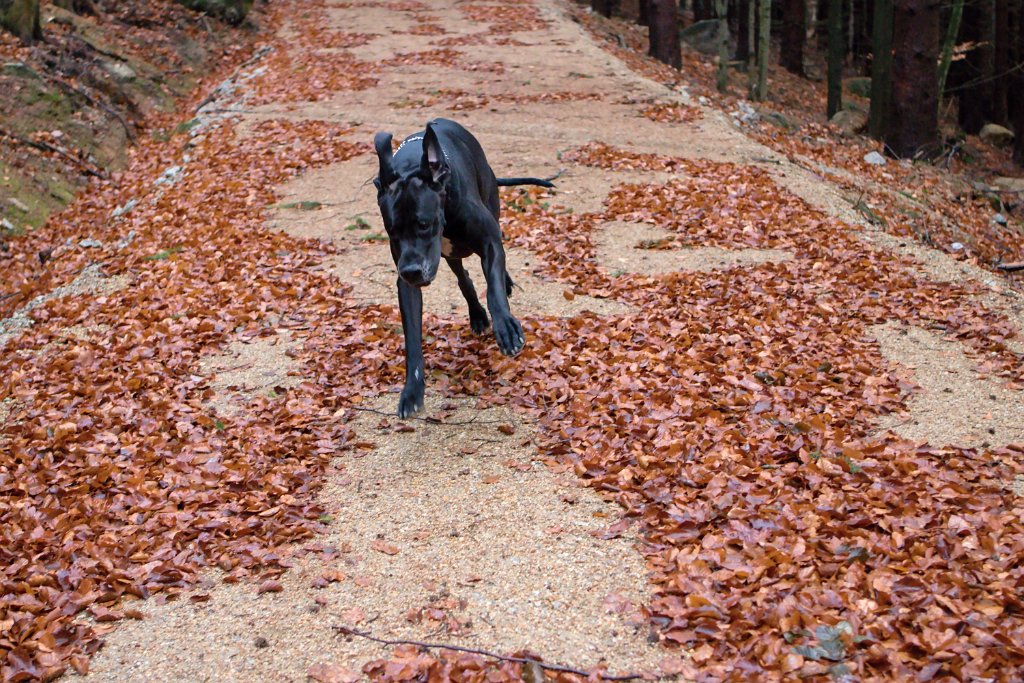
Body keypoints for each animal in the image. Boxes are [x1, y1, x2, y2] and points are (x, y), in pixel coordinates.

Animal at [374, 118, 552, 417]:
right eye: (391, 230)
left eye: (424, 224)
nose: (411, 271)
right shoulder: (406, 283)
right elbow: (412, 337)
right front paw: (412, 390)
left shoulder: (490, 241)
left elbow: (493, 289)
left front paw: (506, 327)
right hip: (448, 255)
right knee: (463, 277)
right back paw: (477, 315)